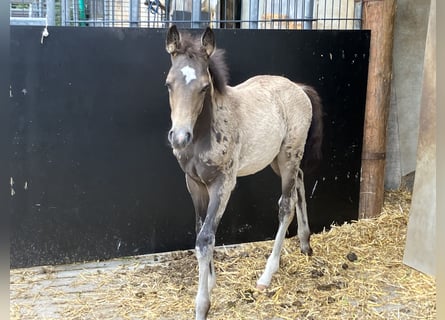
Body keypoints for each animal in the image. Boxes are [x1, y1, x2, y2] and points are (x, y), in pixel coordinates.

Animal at [163, 25, 322, 320]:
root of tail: (299, 88)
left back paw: (267, 275)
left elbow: (206, 238)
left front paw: (202, 304)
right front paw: (210, 281)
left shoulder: (223, 183)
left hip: (289, 154)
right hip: (277, 159)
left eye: (204, 87)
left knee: (286, 206)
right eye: (168, 84)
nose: (179, 137)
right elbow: (199, 231)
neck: (205, 132)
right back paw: (305, 243)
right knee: (300, 182)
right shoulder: (193, 183)